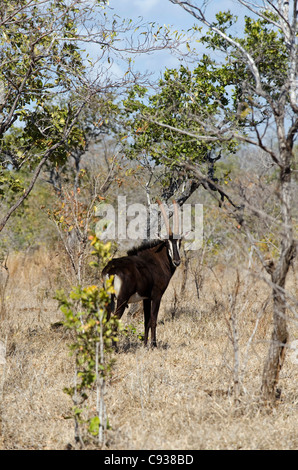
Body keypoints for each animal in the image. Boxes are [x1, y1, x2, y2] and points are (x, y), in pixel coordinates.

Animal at [102, 200, 182, 346]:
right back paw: (115, 348)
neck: (157, 259)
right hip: (121, 300)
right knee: (114, 321)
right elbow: (153, 320)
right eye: (167, 242)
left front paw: (145, 345)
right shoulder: (156, 296)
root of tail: (111, 270)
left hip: (108, 299)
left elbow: (146, 322)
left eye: (179, 241)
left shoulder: (146, 298)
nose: (177, 261)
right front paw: (154, 345)